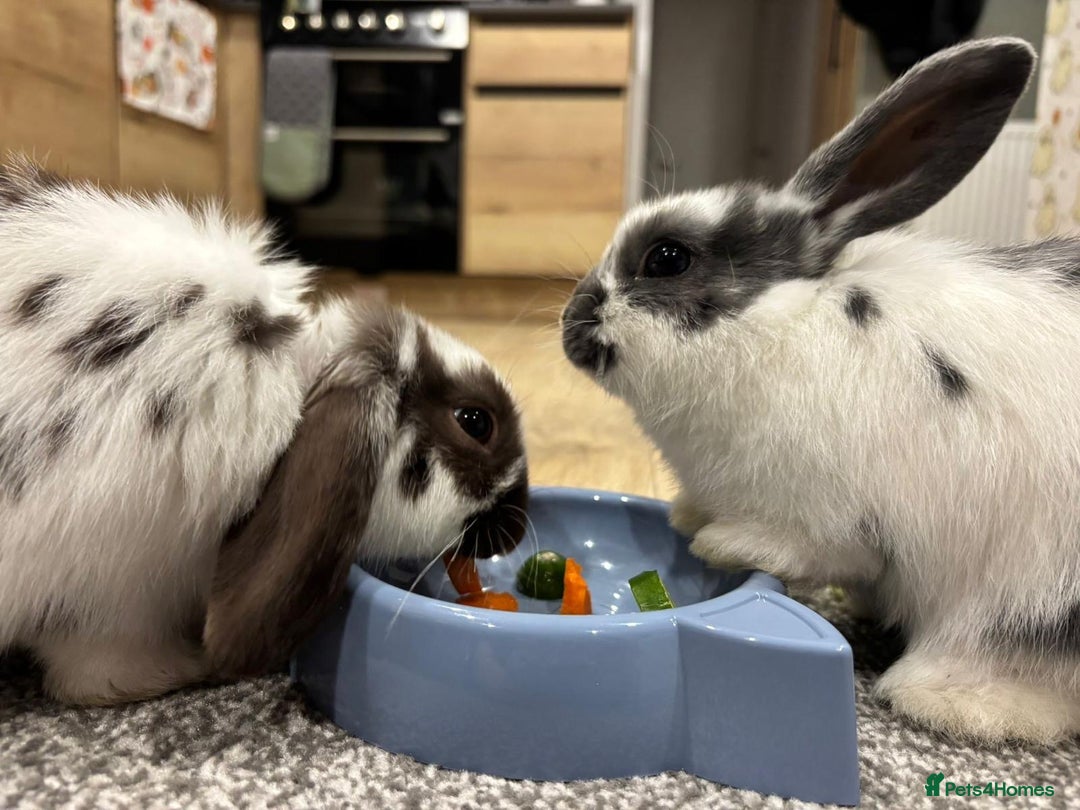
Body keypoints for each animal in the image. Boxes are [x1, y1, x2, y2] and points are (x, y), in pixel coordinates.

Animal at [561, 37, 1080, 745]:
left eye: (667, 258)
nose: (571, 324)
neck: (780, 324)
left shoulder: (834, 518)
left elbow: (816, 549)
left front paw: (719, 540)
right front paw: (688, 515)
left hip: (1033, 580)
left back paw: (958, 699)